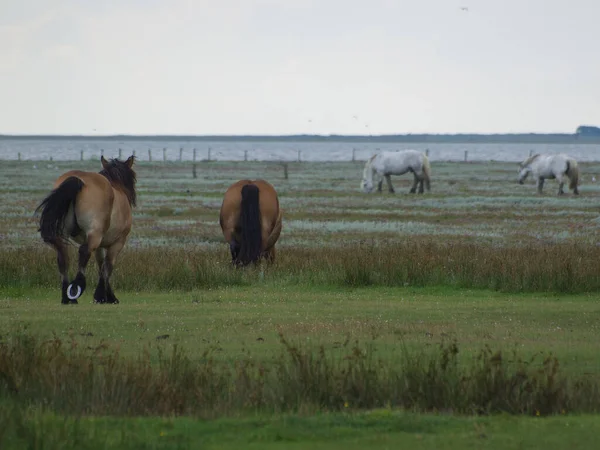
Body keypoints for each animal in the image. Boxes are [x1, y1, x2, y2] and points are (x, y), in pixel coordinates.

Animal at [36, 156, 137, 306]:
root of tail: (79, 180)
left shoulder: (100, 246)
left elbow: (101, 266)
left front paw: (105, 296)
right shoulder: (117, 243)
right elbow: (107, 267)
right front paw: (104, 296)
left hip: (66, 235)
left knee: (63, 257)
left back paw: (67, 297)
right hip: (94, 235)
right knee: (84, 252)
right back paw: (76, 288)